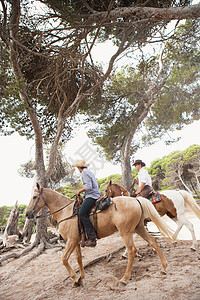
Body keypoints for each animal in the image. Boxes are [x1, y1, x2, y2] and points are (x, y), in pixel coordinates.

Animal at [25, 183, 174, 286]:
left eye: (34, 197)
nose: (27, 214)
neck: (65, 211)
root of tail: (135, 200)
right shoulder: (75, 242)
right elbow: (79, 259)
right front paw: (81, 277)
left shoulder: (71, 241)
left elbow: (64, 259)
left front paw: (76, 278)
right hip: (139, 228)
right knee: (153, 241)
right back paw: (164, 268)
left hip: (125, 232)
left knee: (132, 250)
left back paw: (125, 278)